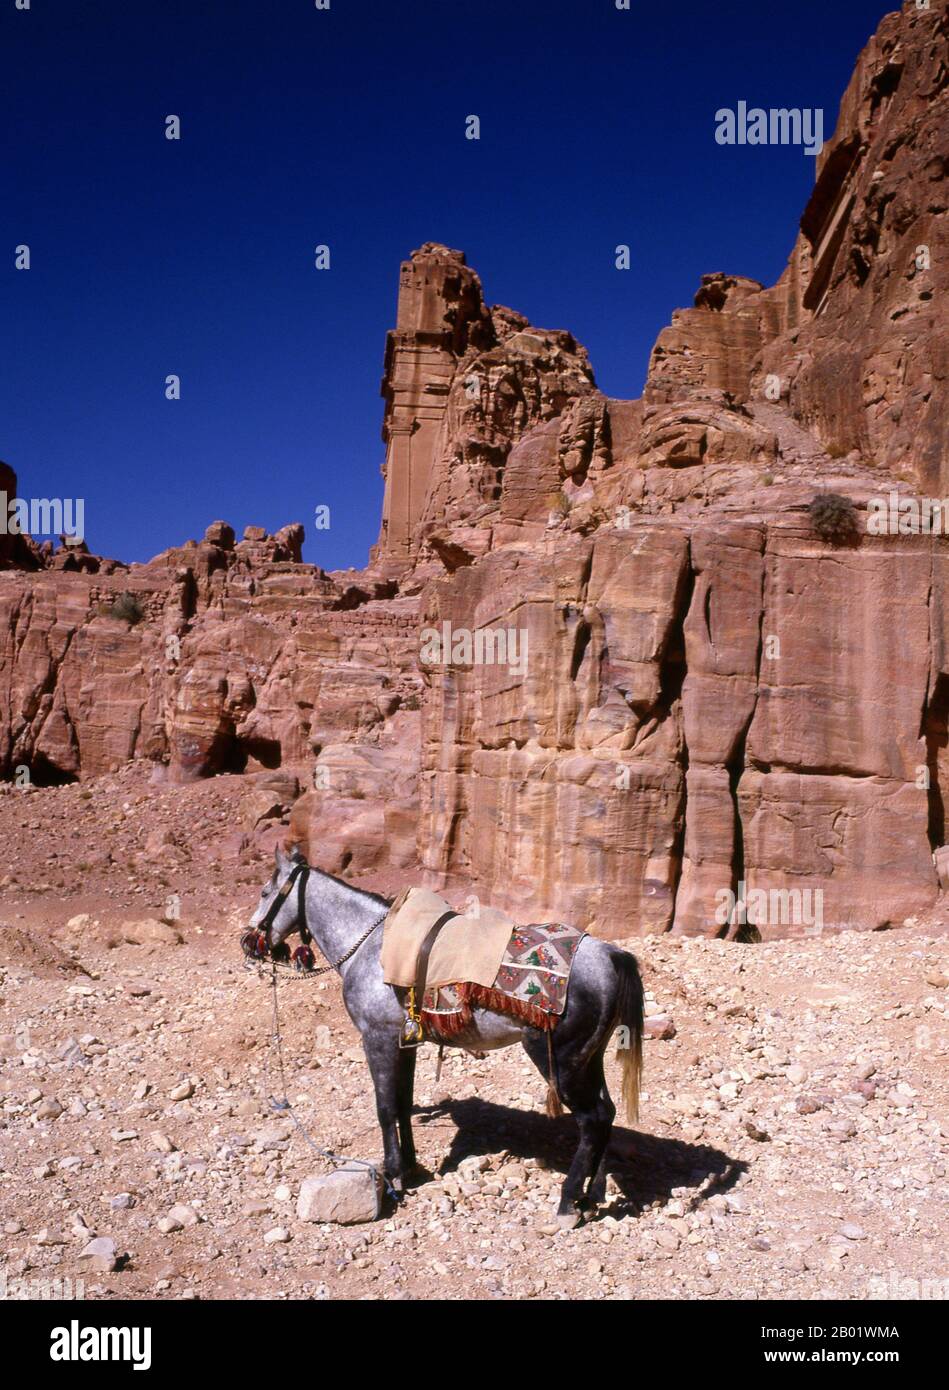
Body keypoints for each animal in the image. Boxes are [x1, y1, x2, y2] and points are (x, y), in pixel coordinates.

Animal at [244, 845, 644, 1228]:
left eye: (265, 891)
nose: (248, 942)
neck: (372, 948)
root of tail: (610, 955)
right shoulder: (405, 1043)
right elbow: (402, 1103)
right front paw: (410, 1167)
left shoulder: (378, 1039)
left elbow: (385, 1107)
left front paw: (393, 1175)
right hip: (588, 1057)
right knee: (606, 1112)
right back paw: (592, 1196)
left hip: (560, 1060)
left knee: (591, 1119)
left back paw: (568, 1203)